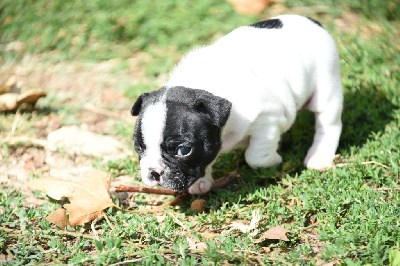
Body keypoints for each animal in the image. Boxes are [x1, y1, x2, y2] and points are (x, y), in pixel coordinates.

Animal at [131, 14, 344, 194]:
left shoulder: (268, 119)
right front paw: (202, 181)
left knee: (329, 123)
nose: (154, 172)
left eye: (183, 150)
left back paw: (319, 156)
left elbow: (255, 156)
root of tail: (313, 21)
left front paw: (274, 159)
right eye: (139, 147)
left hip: (327, 87)